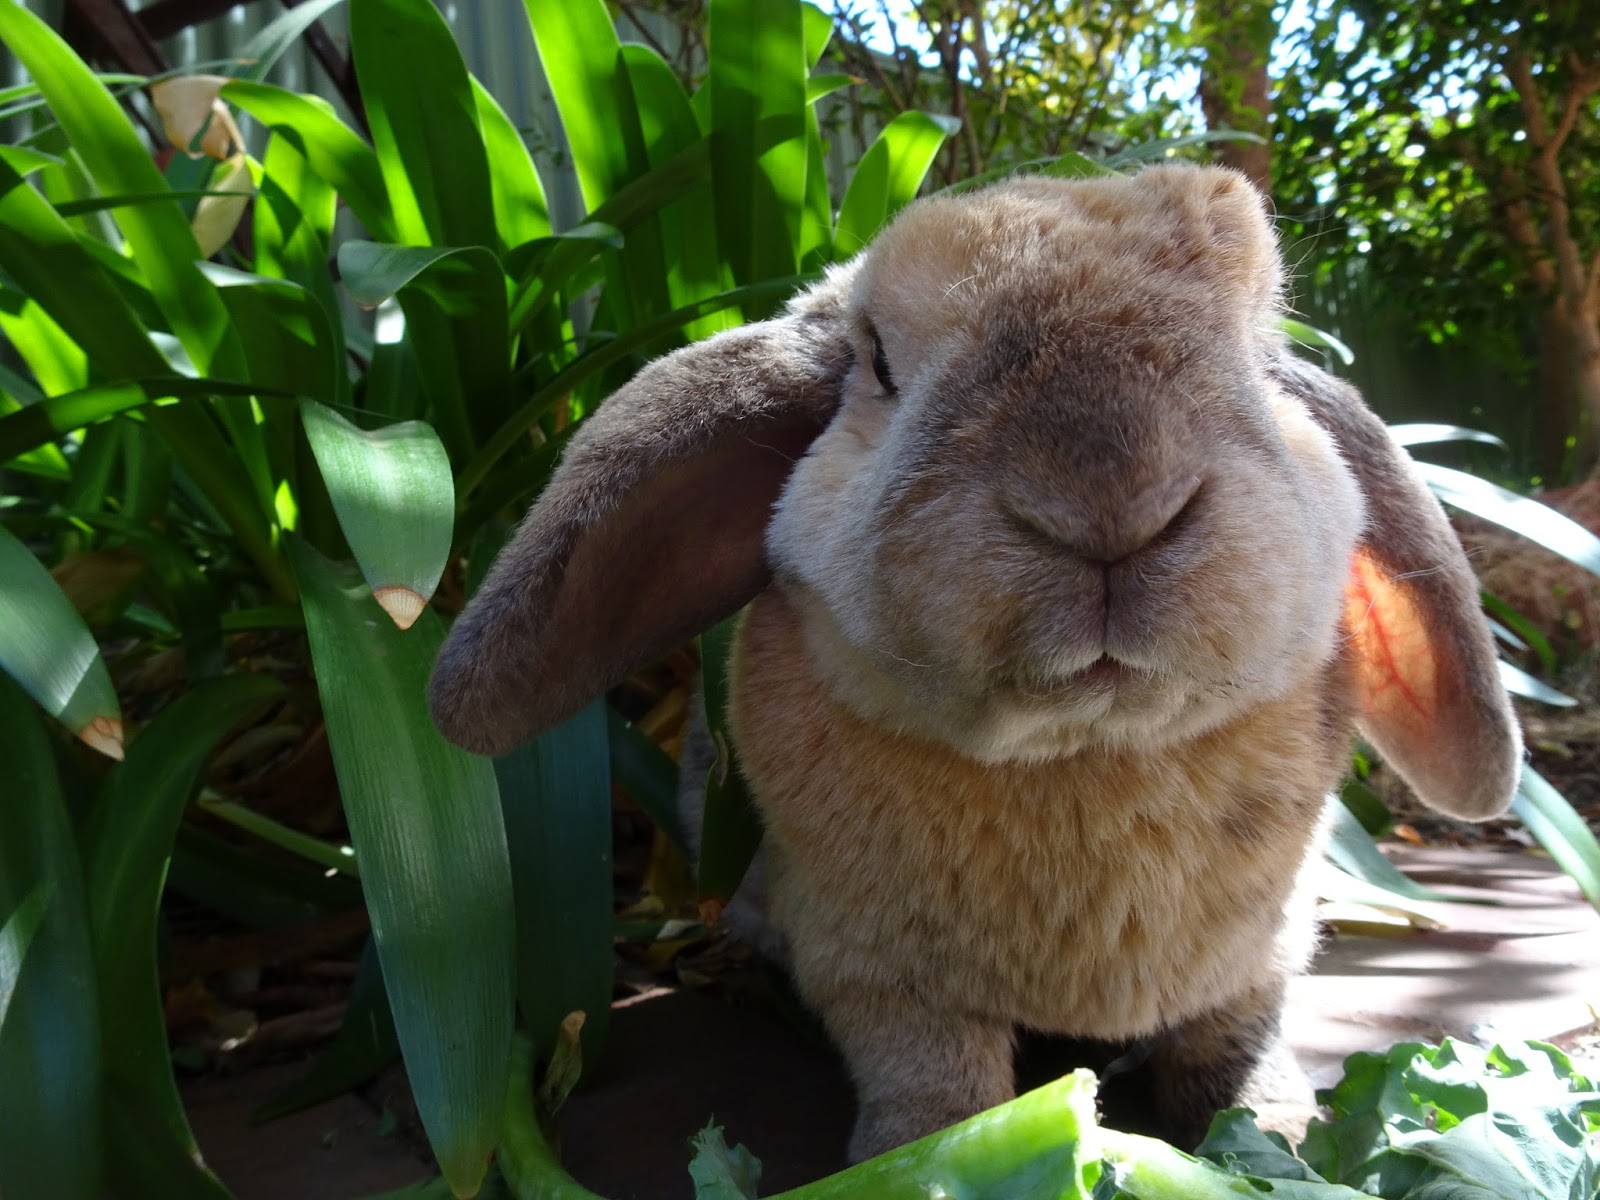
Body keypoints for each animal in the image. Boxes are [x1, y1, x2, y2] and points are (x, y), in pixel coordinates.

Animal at [428, 163, 1522, 1162]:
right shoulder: (877, 976)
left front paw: (1277, 1131)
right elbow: (933, 1074)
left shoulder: (1259, 958)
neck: (1089, 750)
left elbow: (1233, 1040)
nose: (1108, 498)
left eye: (1262, 355)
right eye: (878, 362)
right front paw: (926, 1158)